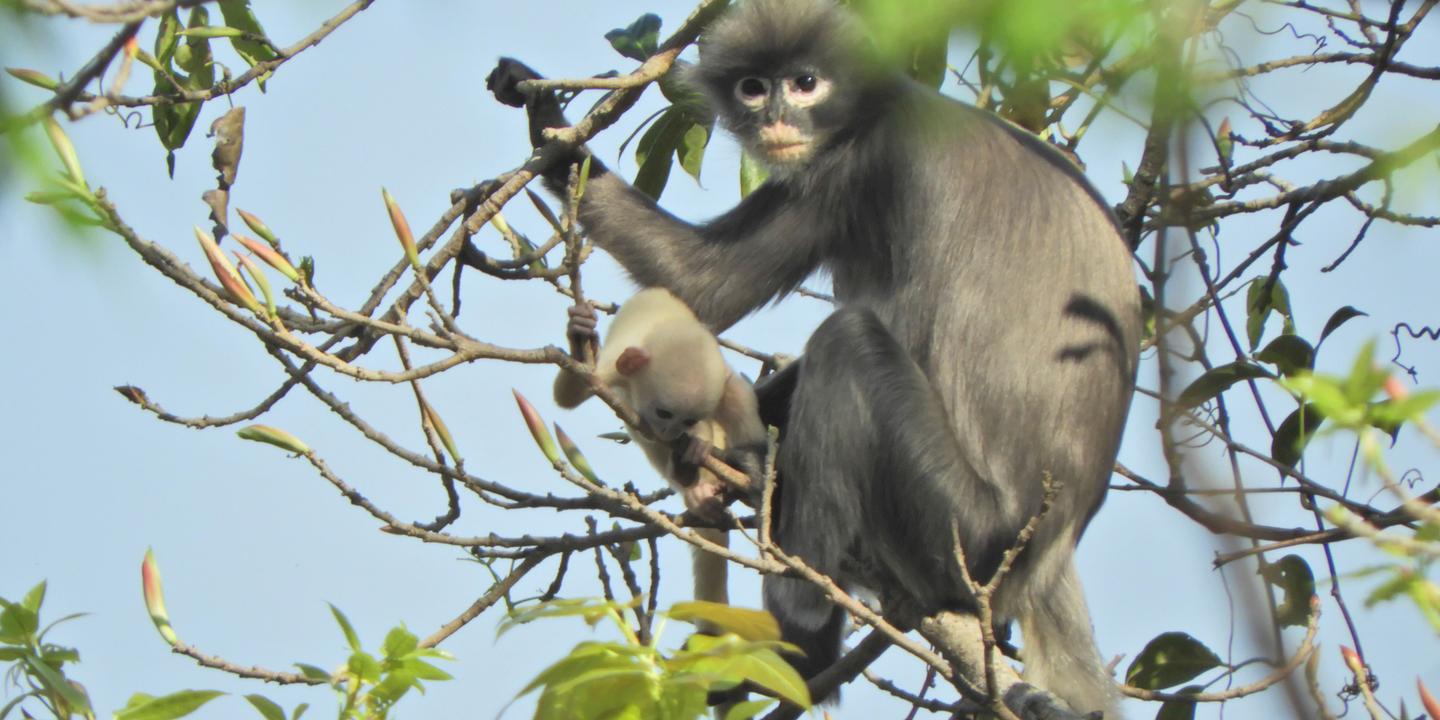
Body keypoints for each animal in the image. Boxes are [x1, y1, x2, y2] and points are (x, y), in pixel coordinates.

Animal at [554, 287, 767, 608]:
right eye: (664, 413)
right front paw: (579, 335)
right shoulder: (616, 366)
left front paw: (746, 467)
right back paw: (690, 478)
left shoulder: (723, 386)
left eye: (688, 419)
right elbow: (571, 393)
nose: (671, 431)